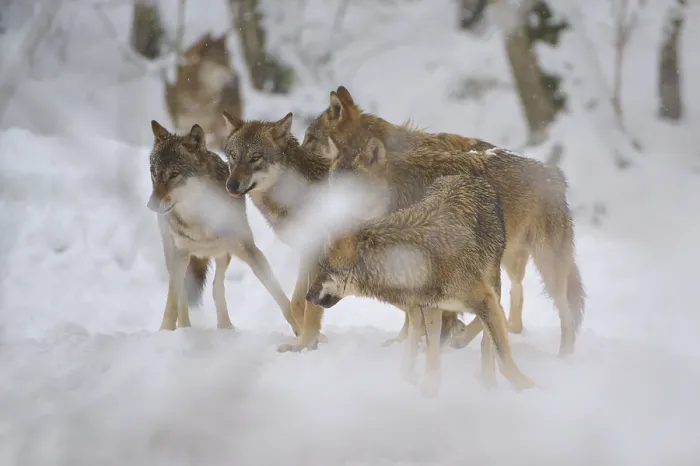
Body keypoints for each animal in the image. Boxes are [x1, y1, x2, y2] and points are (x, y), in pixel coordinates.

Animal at [146, 120, 295, 333]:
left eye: (174, 174)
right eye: (154, 174)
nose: (151, 205)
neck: (199, 222)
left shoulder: (249, 250)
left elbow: (280, 295)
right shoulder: (179, 254)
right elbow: (172, 300)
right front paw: (165, 332)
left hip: (223, 254)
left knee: (217, 286)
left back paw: (226, 327)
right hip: (172, 253)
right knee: (183, 292)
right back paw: (186, 328)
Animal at [303, 86, 585, 357]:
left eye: (310, 139)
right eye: (333, 188)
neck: (401, 189)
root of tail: (554, 173)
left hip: (546, 265)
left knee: (562, 311)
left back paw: (563, 358)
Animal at [306, 138, 536, 395]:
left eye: (324, 270)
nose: (307, 296)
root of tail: (467, 178)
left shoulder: (483, 300)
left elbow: (502, 357)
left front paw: (529, 388)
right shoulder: (429, 308)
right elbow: (430, 357)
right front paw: (427, 392)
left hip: (491, 285)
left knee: (492, 333)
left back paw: (487, 381)